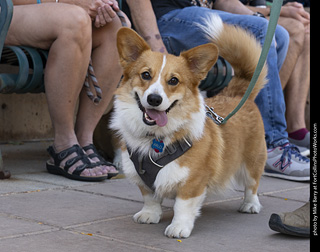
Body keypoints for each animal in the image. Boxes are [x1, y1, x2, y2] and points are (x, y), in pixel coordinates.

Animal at [110, 13, 268, 238]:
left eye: (174, 80)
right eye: (146, 75)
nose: (155, 99)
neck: (156, 137)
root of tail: (236, 93)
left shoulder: (192, 181)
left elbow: (182, 206)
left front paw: (178, 227)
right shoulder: (143, 180)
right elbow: (150, 198)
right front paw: (150, 215)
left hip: (253, 159)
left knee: (252, 184)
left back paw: (250, 205)